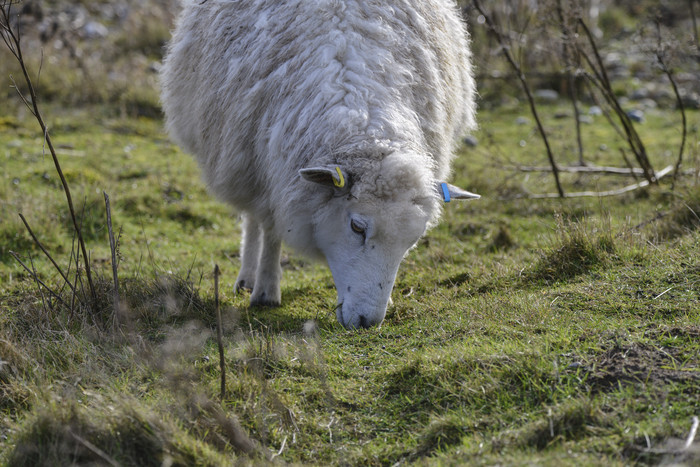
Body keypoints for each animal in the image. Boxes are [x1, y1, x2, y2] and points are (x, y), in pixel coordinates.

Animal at [160, 0, 482, 330]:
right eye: (357, 227)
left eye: (412, 240)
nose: (368, 321)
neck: (361, 110)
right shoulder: (268, 166)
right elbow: (271, 229)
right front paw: (266, 290)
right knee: (253, 218)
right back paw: (248, 277)